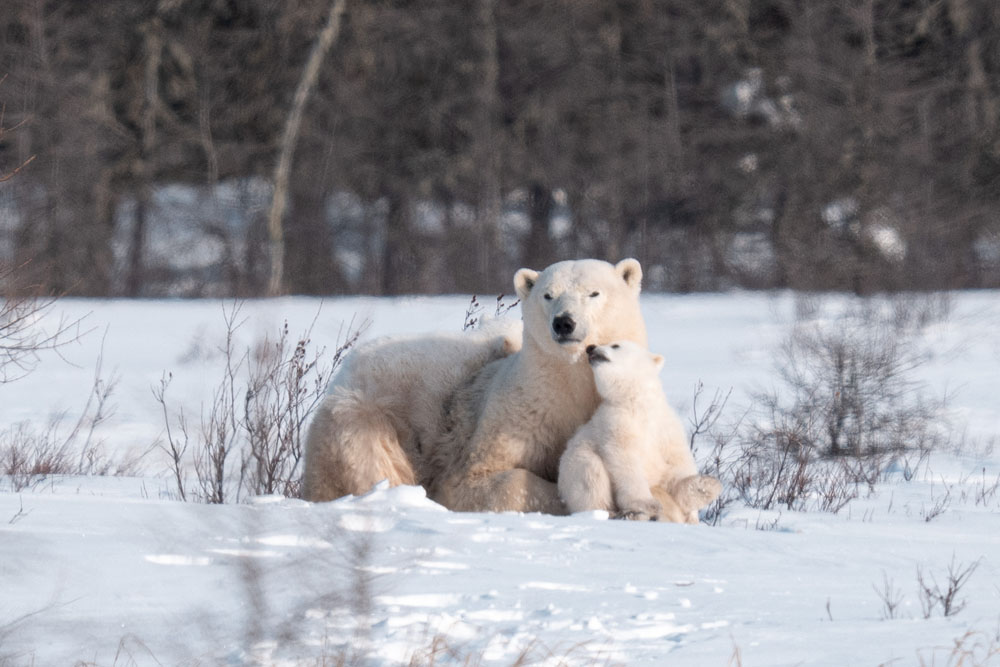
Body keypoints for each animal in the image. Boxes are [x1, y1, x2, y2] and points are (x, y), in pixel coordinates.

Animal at [560, 342, 724, 524]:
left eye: (615, 345)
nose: (590, 347)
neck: (638, 402)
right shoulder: (616, 423)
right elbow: (625, 461)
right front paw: (648, 504)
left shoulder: (666, 425)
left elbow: (678, 461)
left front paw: (704, 489)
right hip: (574, 465)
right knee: (590, 475)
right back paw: (620, 513)